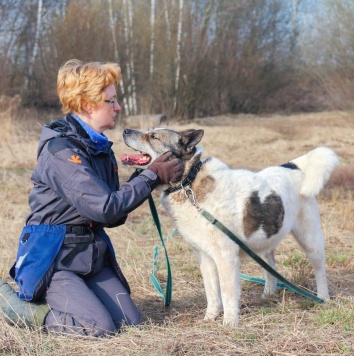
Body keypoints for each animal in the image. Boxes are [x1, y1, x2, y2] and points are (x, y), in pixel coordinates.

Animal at [122, 128, 340, 326]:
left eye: (153, 136)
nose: (125, 130)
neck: (189, 183)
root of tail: (293, 166)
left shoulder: (225, 258)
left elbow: (227, 292)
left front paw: (229, 322)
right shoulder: (206, 259)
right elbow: (212, 293)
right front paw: (210, 317)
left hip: (310, 241)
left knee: (319, 269)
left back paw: (323, 298)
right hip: (262, 242)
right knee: (270, 264)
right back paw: (269, 293)